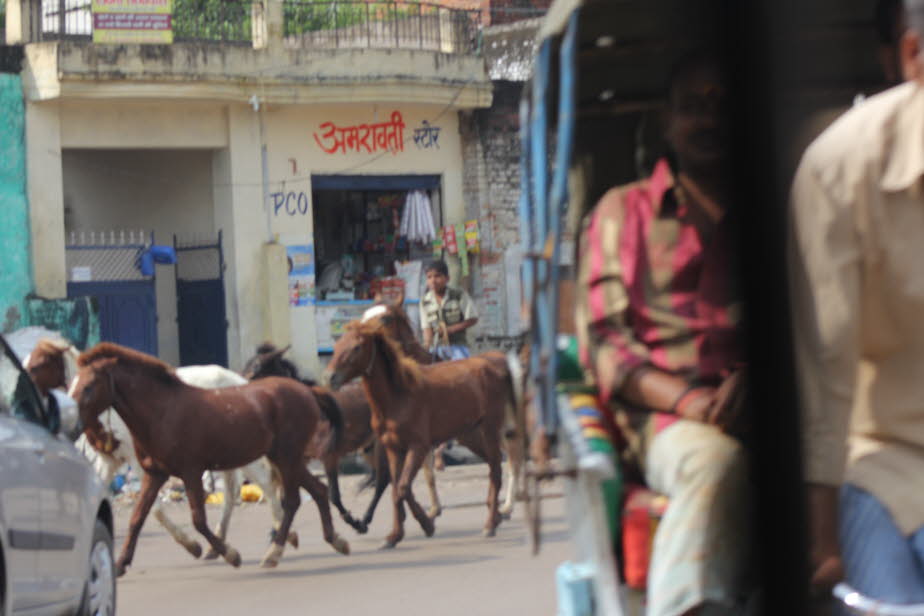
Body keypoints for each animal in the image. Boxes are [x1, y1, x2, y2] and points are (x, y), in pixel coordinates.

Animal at [25, 342, 294, 564]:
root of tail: (239, 378)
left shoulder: (139, 460)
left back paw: (283, 534)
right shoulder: (108, 461)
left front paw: (191, 545)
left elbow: (153, 508)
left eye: (37, 364)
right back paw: (219, 545)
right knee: (232, 489)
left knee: (264, 482)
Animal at [67, 344, 352, 576]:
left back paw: (275, 551)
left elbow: (198, 520)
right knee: (317, 490)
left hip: (285, 456)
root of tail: (307, 391)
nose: (71, 425)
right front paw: (120, 564)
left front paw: (230, 554)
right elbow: (138, 518)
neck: (161, 412)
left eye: (88, 387)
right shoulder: (154, 473)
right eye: (71, 385)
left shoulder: (191, 471)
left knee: (289, 498)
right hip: (286, 457)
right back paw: (335, 540)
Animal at [324, 320, 520, 548]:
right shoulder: (393, 448)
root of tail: (497, 364)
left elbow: (402, 487)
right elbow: (397, 488)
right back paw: (497, 515)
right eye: (337, 345)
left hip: (490, 428)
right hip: (469, 434)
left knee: (497, 468)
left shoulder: (418, 447)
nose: (330, 377)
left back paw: (490, 523)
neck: (398, 396)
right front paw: (396, 534)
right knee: (493, 464)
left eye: (357, 347)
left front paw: (425, 524)